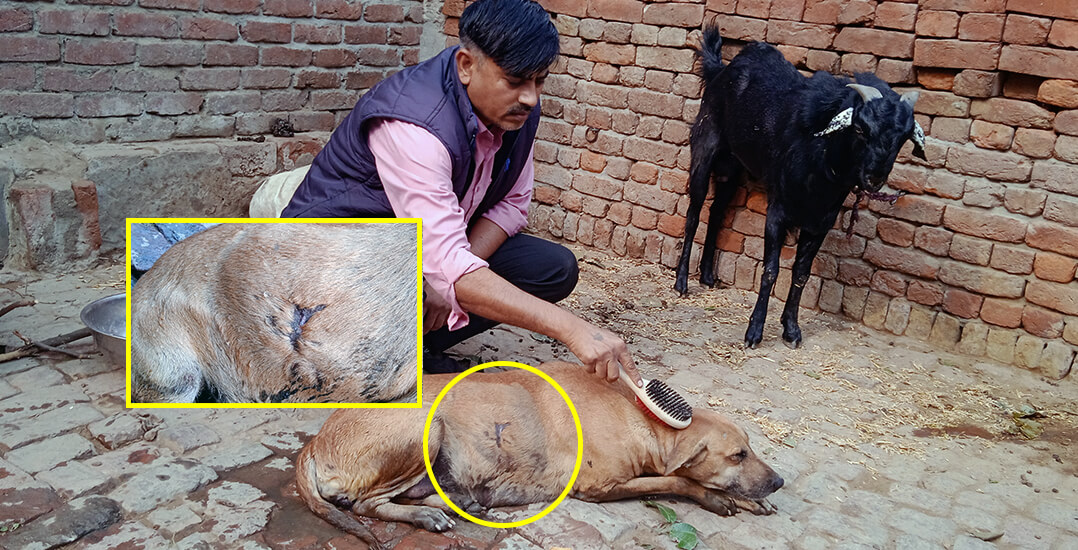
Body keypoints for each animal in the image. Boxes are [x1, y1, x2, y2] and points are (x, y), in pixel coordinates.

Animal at [295, 362, 784, 547]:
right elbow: (679, 479)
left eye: (751, 448)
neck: (642, 418)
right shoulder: (600, 486)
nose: (779, 481)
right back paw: (425, 516)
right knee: (367, 504)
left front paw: (752, 500)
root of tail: (314, 442)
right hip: (426, 428)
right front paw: (720, 497)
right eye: (737, 455)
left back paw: (457, 505)